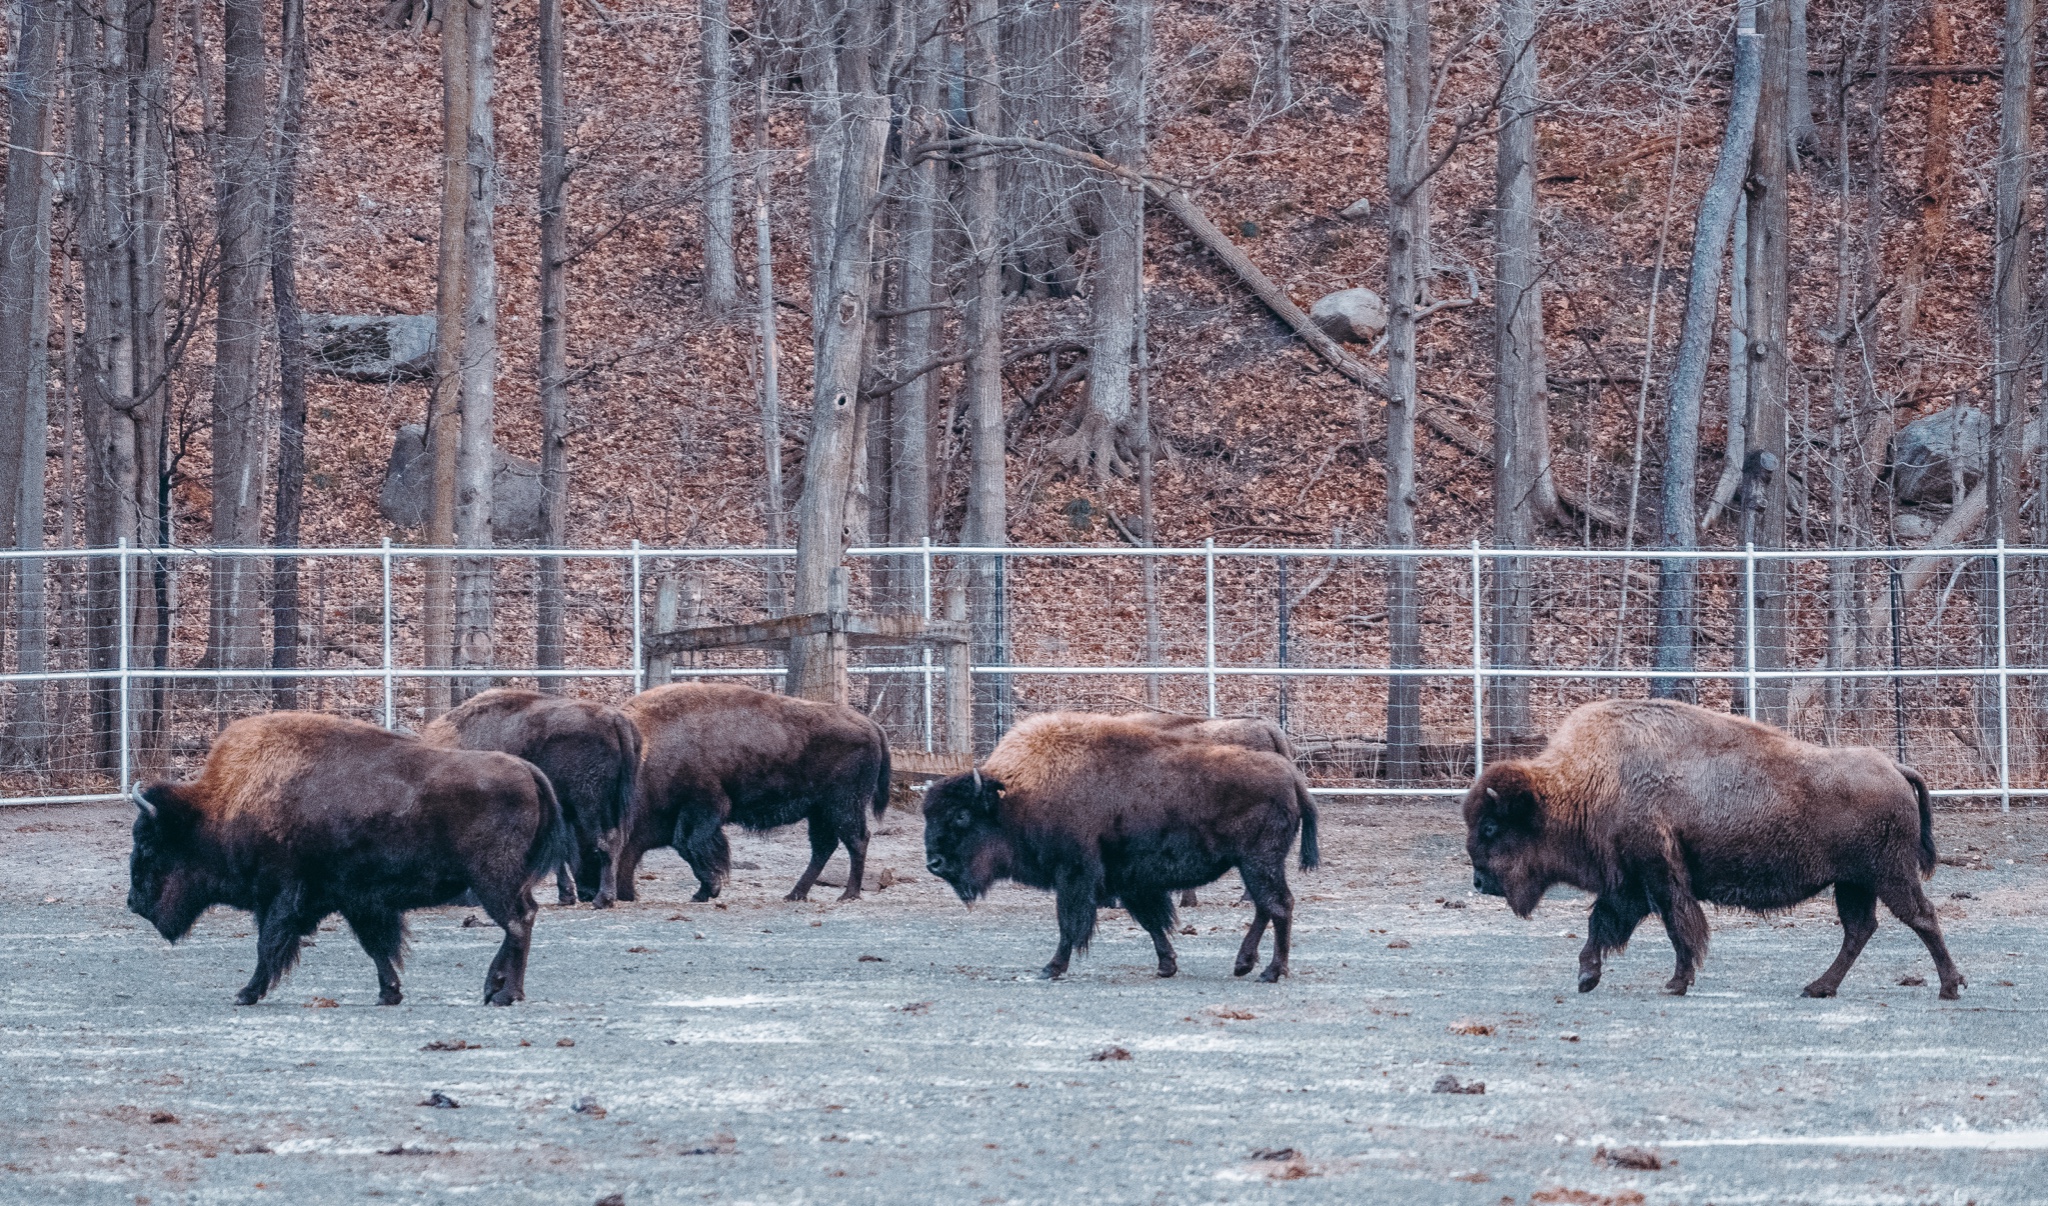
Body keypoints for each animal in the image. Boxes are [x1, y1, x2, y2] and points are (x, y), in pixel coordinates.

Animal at [129, 708, 565, 1003]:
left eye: (149, 844)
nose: (134, 903)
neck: (224, 805)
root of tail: (528, 771)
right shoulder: (357, 901)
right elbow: (376, 947)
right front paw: (389, 993)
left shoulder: (282, 895)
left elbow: (268, 945)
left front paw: (246, 993)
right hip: (503, 881)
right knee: (522, 919)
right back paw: (501, 991)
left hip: (493, 880)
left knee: (517, 922)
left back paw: (502, 992)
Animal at [419, 687, 634, 900]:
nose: (586, 893)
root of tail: (614, 719)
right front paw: (566, 894)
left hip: (591, 803)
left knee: (606, 841)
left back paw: (604, 898)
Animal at [614, 683, 888, 896]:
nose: (623, 894)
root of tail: (871, 725)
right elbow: (684, 847)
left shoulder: (704, 808)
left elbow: (690, 846)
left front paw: (708, 890)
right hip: (820, 812)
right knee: (824, 846)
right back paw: (795, 895)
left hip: (843, 806)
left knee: (857, 840)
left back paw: (848, 894)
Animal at [925, 716, 1318, 978]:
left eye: (961, 815)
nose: (934, 863)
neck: (1015, 796)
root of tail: (1291, 775)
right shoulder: (1128, 880)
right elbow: (1151, 923)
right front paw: (1166, 966)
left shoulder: (1074, 874)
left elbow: (1070, 923)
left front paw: (1052, 968)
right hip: (1254, 864)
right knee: (1267, 906)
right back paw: (1244, 965)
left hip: (1258, 862)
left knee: (1279, 905)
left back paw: (1271, 971)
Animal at [1466, 696, 1957, 995]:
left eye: (1491, 826)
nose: (1480, 881)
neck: (1590, 781)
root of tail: (1893, 767)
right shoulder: (1629, 883)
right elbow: (1602, 924)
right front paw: (1588, 976)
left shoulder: (1659, 877)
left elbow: (1678, 928)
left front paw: (1675, 983)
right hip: (1854, 882)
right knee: (1860, 930)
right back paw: (1818, 987)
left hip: (1888, 874)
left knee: (1921, 917)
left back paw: (1950, 987)